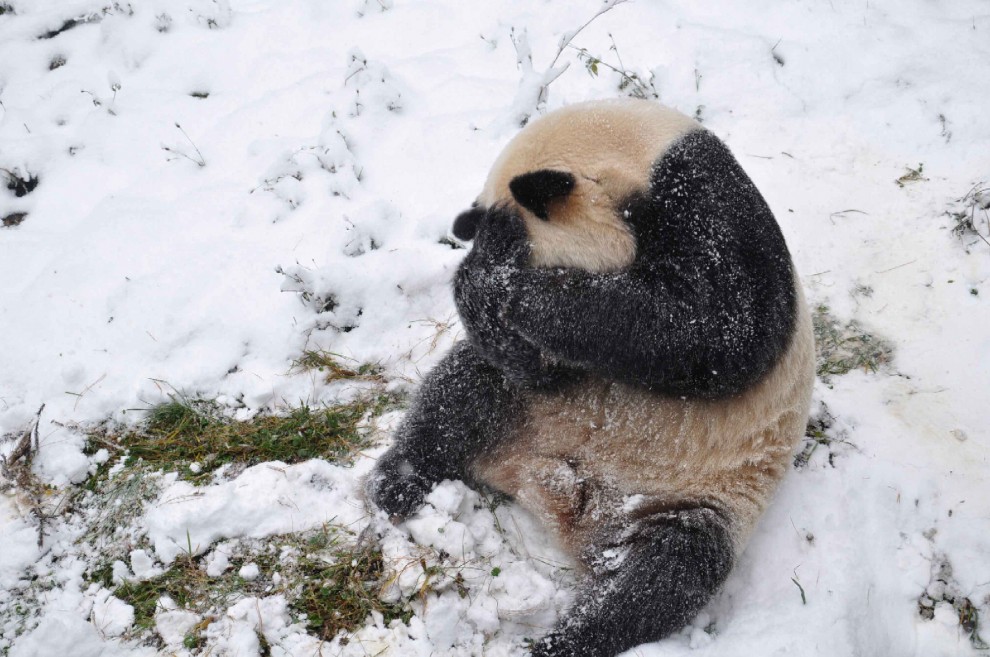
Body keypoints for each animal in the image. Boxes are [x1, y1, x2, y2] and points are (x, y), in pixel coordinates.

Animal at [366, 98, 815, 657]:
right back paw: (397, 482)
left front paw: (521, 292)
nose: (536, 367)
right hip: (527, 409)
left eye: (518, 250)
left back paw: (565, 640)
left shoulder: (702, 201)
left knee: (664, 572)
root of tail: (551, 493)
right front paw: (484, 296)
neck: (629, 150)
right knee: (459, 395)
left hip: (703, 495)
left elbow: (718, 328)